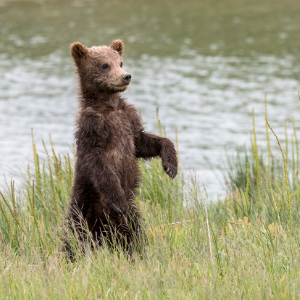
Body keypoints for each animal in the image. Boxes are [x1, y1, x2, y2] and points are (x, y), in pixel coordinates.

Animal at [67, 38, 177, 252]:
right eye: (104, 65)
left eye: (120, 62)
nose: (126, 76)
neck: (109, 106)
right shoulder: (92, 128)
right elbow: (100, 164)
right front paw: (117, 202)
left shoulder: (128, 120)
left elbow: (142, 142)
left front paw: (171, 165)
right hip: (83, 204)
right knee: (76, 235)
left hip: (132, 215)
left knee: (134, 232)